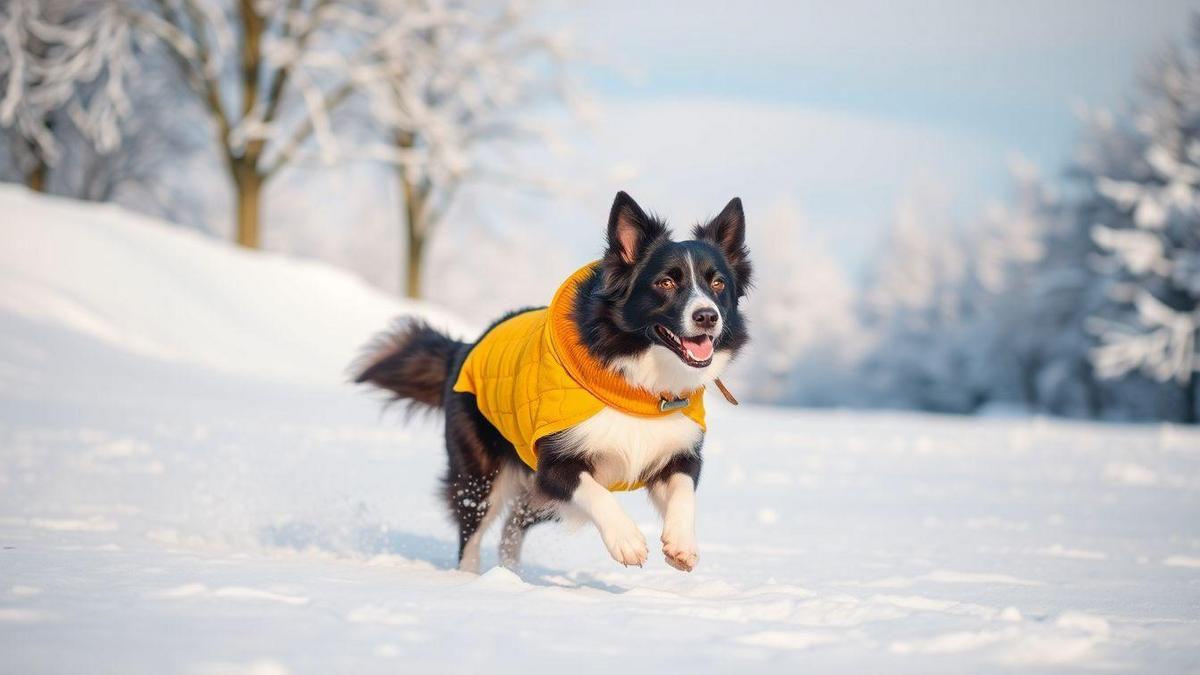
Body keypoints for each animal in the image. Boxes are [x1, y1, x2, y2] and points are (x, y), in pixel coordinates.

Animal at [352, 190, 748, 571]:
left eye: (717, 283)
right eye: (665, 282)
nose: (707, 316)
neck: (639, 387)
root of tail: (467, 347)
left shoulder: (675, 453)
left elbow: (684, 489)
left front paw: (682, 544)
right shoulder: (554, 462)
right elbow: (595, 492)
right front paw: (627, 541)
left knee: (512, 526)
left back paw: (511, 576)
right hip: (481, 472)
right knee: (473, 530)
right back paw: (471, 578)